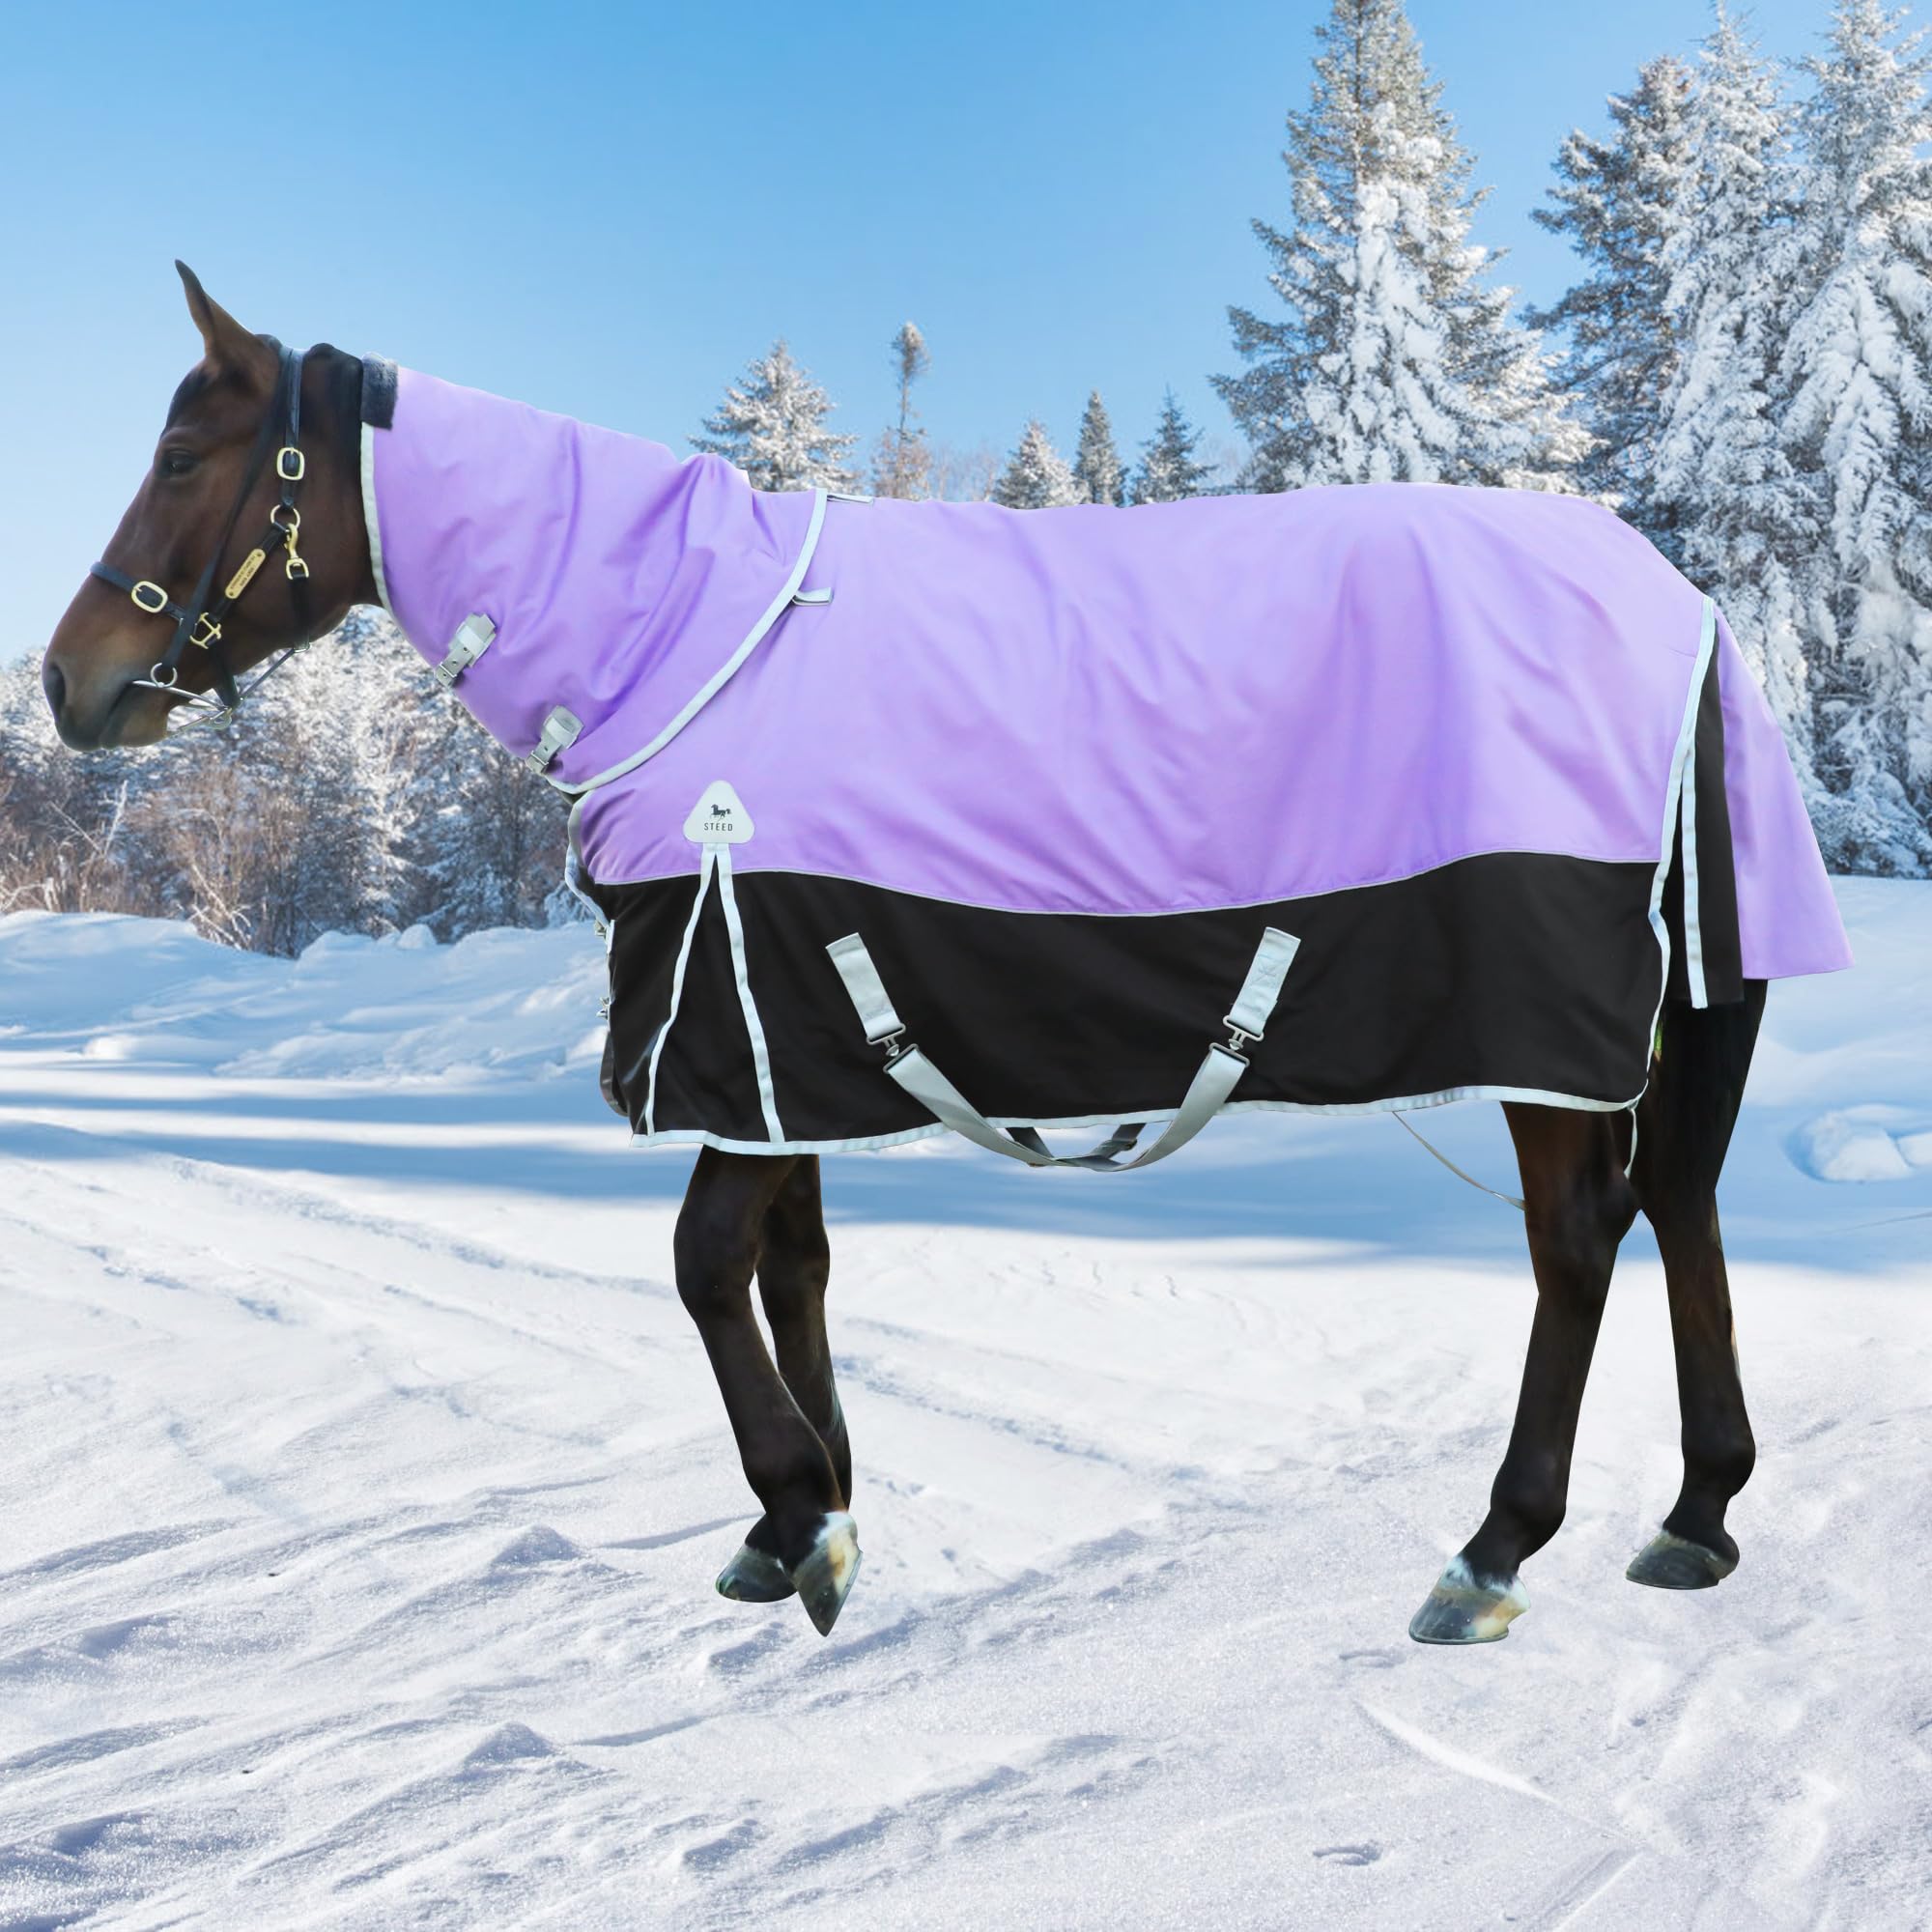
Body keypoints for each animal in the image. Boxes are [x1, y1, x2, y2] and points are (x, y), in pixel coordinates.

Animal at [40, 265, 1849, 1645]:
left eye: (188, 449)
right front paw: (803, 1514)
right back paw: (1699, 1510)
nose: (68, 683)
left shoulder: (742, 1009)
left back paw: (1494, 1548)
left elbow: (704, 1267)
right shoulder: (776, 1032)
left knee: (1583, 1239)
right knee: (1678, 1203)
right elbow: (790, 1267)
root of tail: (1678, 603)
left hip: (1546, 1025)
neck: (678, 640)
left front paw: (804, 1520)